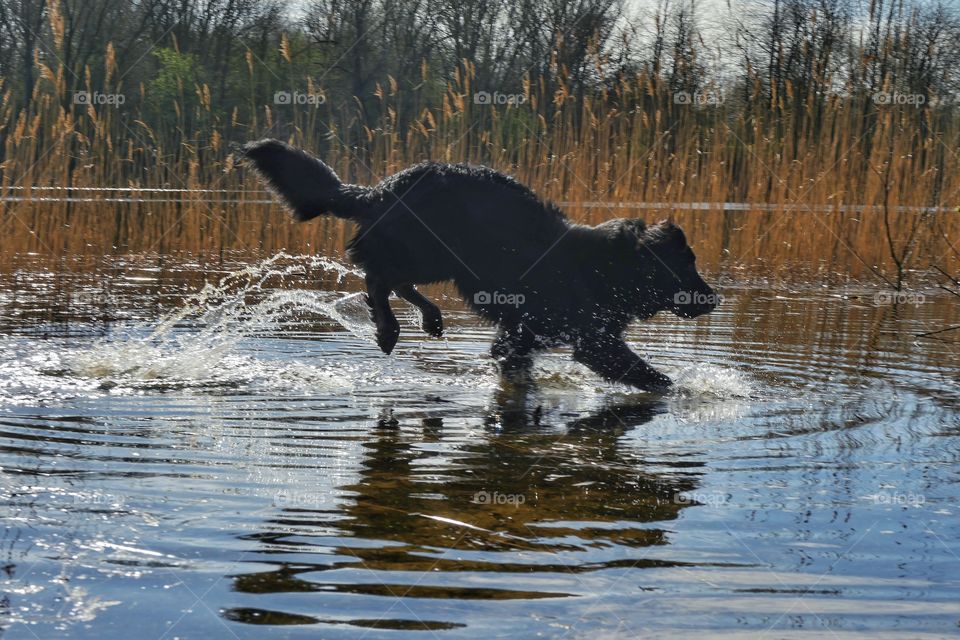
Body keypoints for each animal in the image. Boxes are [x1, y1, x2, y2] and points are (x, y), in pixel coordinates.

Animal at [242, 139, 720, 390]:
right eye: (686, 265)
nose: (713, 300)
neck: (608, 267)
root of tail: (379, 190)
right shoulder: (593, 340)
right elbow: (652, 378)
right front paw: (683, 391)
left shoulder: (519, 334)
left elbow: (510, 359)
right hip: (432, 252)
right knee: (377, 278)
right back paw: (389, 329)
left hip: (440, 262)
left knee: (393, 281)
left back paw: (430, 318)